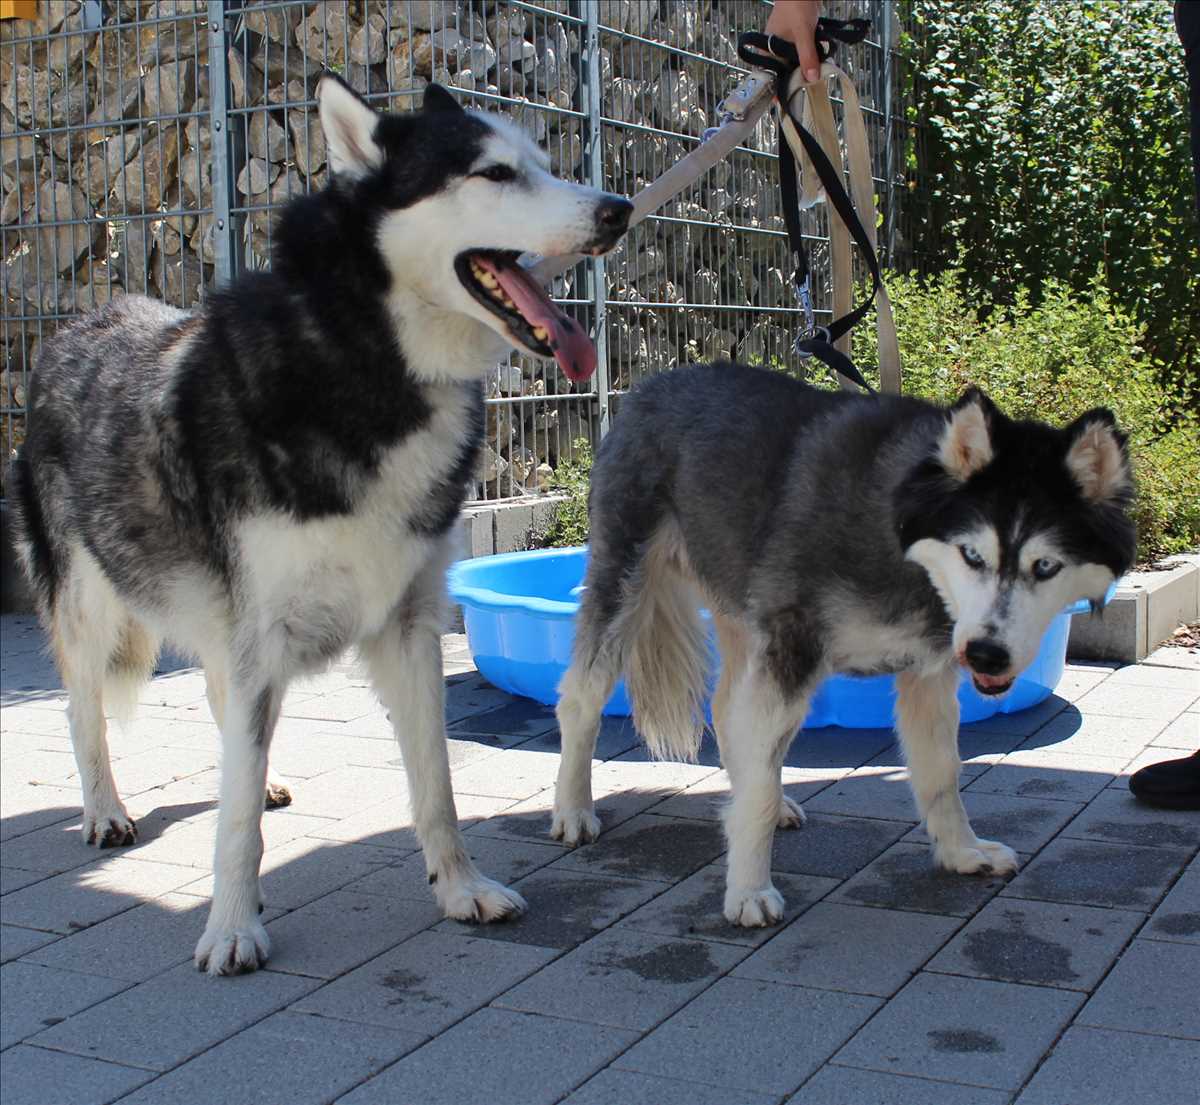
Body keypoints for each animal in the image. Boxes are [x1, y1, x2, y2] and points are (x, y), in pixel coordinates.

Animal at [9, 74, 632, 975]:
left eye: (545, 163)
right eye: (494, 173)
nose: (620, 208)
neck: (367, 359)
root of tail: (77, 324)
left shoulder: (407, 627)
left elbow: (436, 786)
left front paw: (461, 889)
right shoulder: (262, 628)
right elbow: (233, 823)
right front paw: (232, 927)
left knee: (217, 696)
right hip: (92, 606)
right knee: (83, 708)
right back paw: (105, 809)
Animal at [551, 362, 1135, 927]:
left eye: (1046, 566)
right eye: (972, 555)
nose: (986, 654)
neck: (898, 530)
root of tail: (653, 382)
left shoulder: (928, 673)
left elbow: (941, 773)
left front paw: (961, 852)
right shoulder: (791, 650)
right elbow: (756, 791)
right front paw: (748, 890)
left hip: (743, 612)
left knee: (727, 710)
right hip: (627, 588)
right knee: (580, 702)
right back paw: (574, 810)